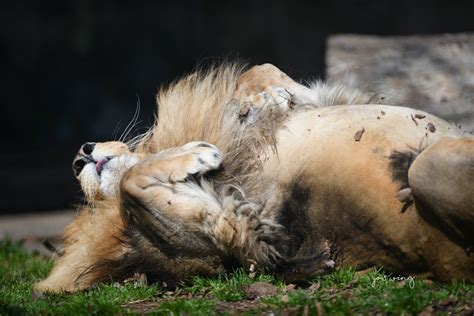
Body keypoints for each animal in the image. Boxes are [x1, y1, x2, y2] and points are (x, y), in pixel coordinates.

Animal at [35, 64, 474, 294]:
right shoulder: (238, 234)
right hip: (428, 168)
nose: (79, 155)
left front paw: (267, 98)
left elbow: (260, 73)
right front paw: (199, 153)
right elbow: (131, 182)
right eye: (95, 201)